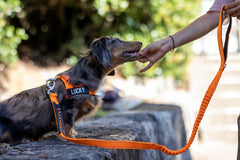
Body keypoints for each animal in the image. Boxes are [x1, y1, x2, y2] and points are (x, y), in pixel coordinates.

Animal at [0, 36, 142, 141]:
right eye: (117, 40)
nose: (141, 42)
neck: (83, 78)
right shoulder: (69, 108)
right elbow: (68, 124)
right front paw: (67, 137)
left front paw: (72, 134)